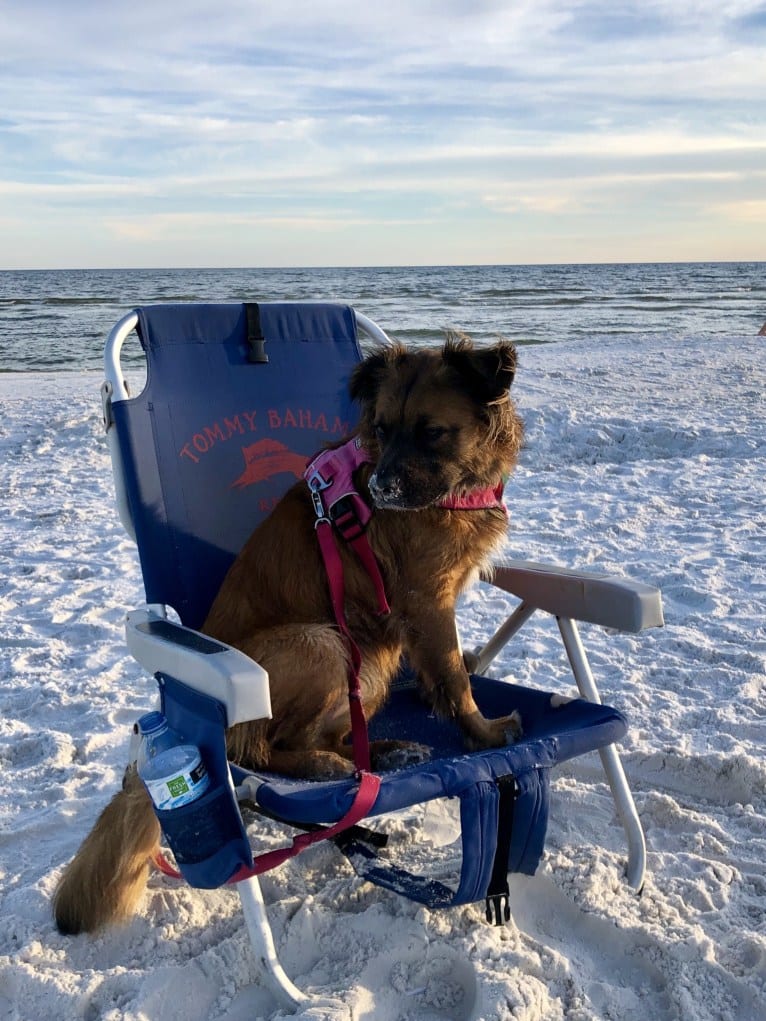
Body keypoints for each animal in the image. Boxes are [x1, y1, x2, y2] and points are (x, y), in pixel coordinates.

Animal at [52, 334, 522, 935]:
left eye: (432, 431)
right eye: (383, 428)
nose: (380, 488)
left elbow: (448, 671)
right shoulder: (427, 601)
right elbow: (457, 680)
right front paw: (483, 733)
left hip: (367, 667)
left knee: (321, 738)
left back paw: (383, 751)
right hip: (325, 644)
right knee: (262, 750)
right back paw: (325, 765)